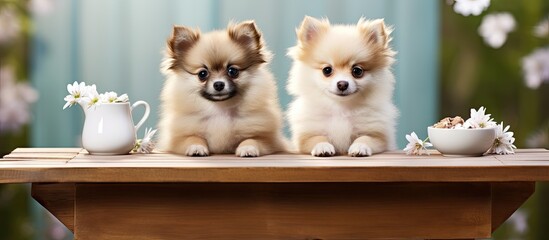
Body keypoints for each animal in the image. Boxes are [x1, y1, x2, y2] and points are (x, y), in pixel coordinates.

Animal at [157, 19, 284, 157]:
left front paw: (247, 148)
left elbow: (252, 139)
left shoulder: (269, 140)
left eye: (232, 71)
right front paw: (196, 147)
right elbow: (192, 138)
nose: (218, 84)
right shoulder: (176, 140)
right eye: (202, 74)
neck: (220, 110)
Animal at [286, 15, 398, 157]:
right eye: (327, 70)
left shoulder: (378, 135)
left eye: (357, 71)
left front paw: (360, 147)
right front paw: (323, 147)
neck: (341, 108)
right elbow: (317, 138)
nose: (342, 84)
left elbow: (365, 138)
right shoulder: (306, 136)